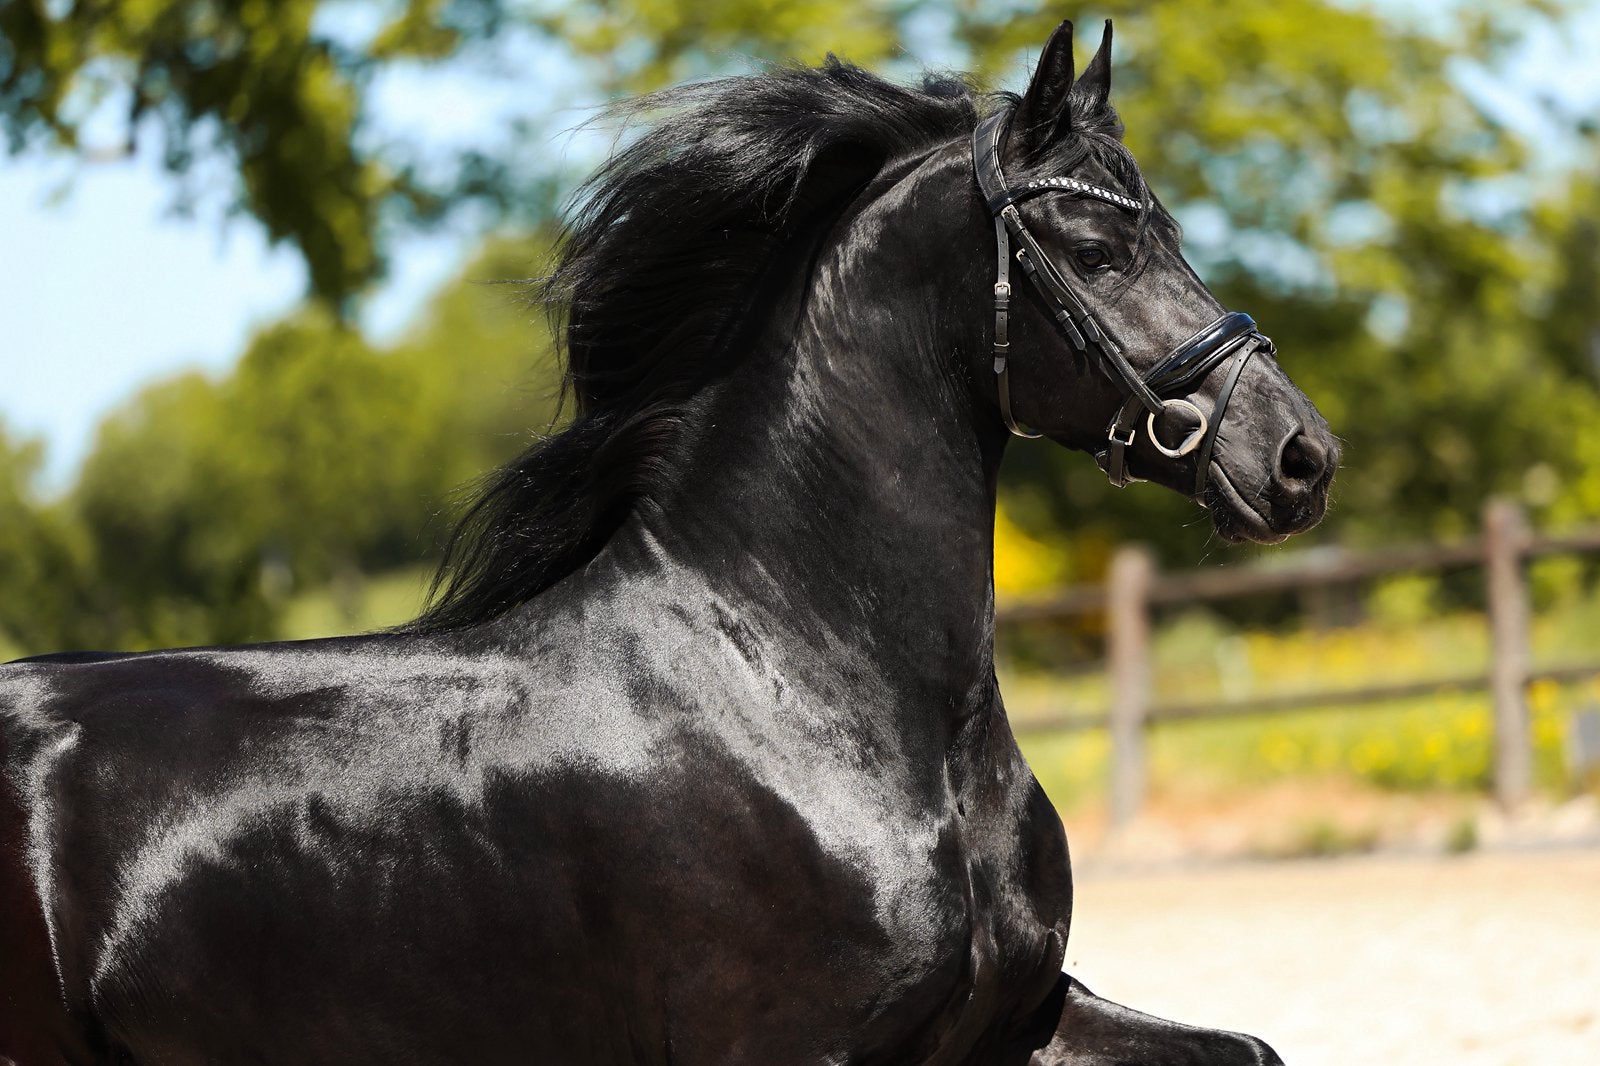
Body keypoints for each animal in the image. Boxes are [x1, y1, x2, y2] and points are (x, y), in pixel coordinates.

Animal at [1, 20, 1335, 1065]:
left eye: (1172, 232)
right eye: (1099, 251)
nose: (1298, 457)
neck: (802, 691)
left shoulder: (1015, 1021)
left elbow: (1252, 1048)